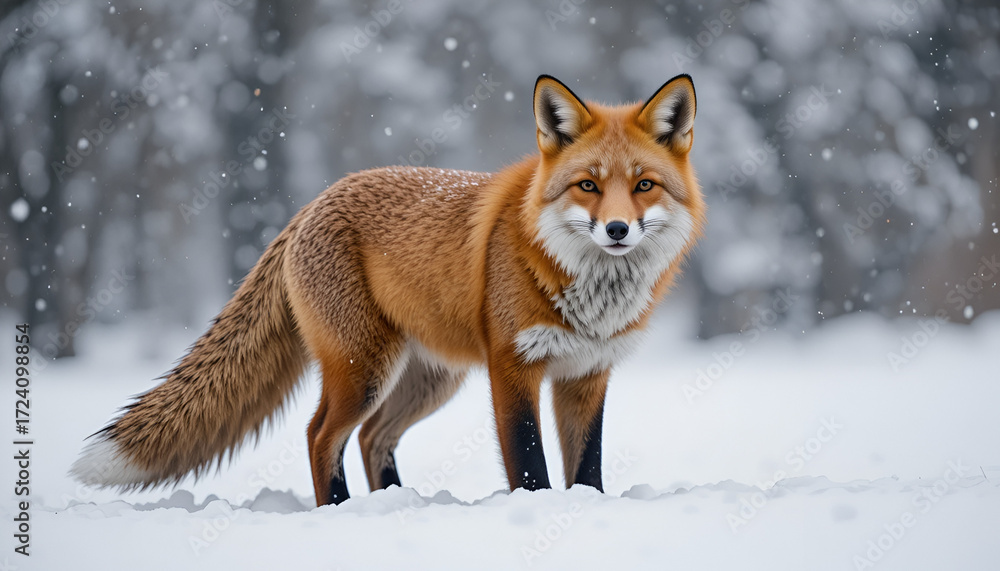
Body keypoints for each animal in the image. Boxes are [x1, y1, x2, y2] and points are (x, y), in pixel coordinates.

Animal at [71, 74, 705, 506]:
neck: (591, 295)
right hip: (364, 370)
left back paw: (393, 502)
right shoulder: (513, 368)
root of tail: (311, 204)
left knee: (374, 438)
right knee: (320, 434)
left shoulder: (587, 374)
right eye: (588, 186)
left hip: (427, 380)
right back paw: (341, 510)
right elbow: (529, 465)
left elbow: (587, 471)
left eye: (644, 186)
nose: (617, 230)